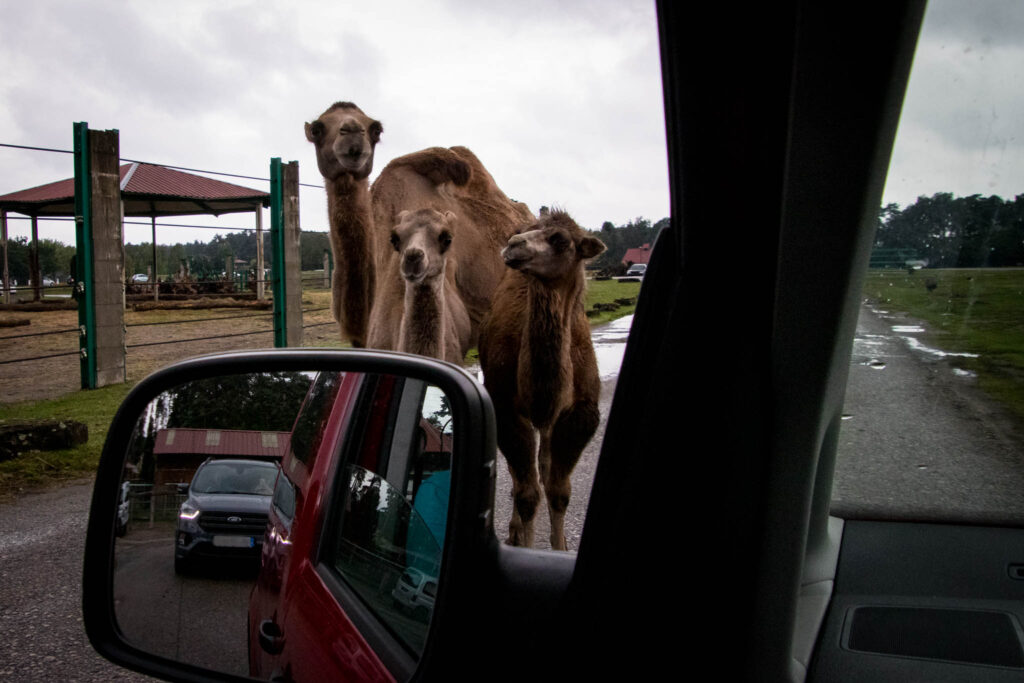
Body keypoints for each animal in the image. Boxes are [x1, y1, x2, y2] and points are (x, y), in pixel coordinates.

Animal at [479, 208, 606, 548]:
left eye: (560, 240)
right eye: (520, 231)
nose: (514, 245)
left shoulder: (579, 413)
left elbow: (559, 492)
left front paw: (559, 547)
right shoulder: (506, 408)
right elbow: (528, 494)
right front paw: (524, 541)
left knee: (545, 466)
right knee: (521, 475)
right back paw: (514, 531)